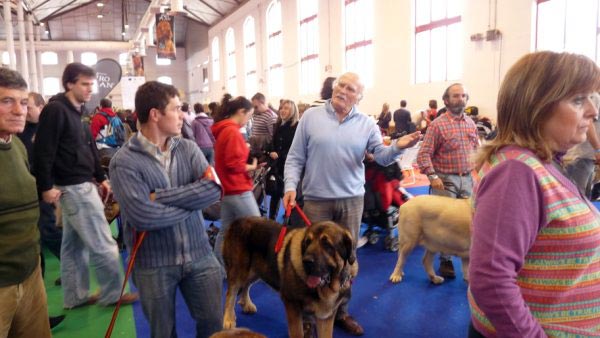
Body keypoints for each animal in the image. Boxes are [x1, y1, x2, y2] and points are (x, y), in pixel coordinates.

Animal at [223, 217, 358, 338]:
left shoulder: (326, 317)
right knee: (231, 293)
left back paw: (246, 304)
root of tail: (236, 221)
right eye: (307, 242)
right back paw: (228, 319)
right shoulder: (292, 304)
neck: (326, 288)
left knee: (246, 286)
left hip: (257, 271)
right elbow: (297, 333)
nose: (306, 261)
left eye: (327, 244)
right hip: (239, 270)